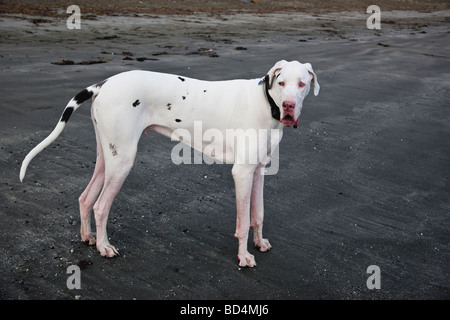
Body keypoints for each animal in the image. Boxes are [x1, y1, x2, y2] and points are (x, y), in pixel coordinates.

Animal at [19, 60, 318, 268]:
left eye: (302, 84)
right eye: (282, 83)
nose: (289, 106)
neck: (267, 104)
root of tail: (104, 83)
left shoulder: (257, 172)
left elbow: (258, 214)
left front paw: (259, 243)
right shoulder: (242, 173)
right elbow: (243, 222)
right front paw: (244, 257)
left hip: (107, 159)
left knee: (85, 198)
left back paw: (89, 237)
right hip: (122, 162)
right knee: (101, 206)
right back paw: (104, 246)